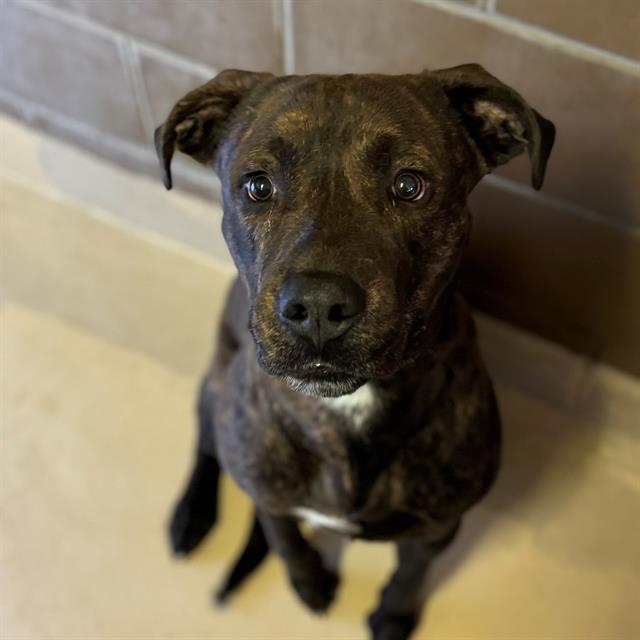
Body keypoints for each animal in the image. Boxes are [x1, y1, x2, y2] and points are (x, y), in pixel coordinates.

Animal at [155, 66, 556, 640]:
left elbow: (412, 574)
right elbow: (286, 542)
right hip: (215, 386)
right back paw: (191, 516)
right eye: (257, 186)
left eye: (410, 185)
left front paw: (394, 617)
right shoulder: (271, 499)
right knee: (206, 446)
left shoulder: (437, 526)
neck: (348, 409)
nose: (319, 305)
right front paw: (309, 585)